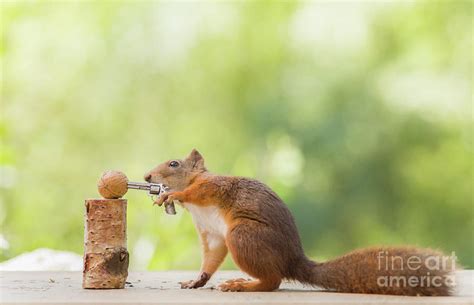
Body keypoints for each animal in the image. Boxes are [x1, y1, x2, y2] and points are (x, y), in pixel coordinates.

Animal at [143, 148, 456, 294]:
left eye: (174, 164)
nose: (147, 177)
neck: (195, 208)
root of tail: (292, 260)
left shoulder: (212, 186)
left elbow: (194, 190)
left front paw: (172, 194)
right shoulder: (211, 233)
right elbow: (211, 256)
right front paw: (196, 280)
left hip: (243, 235)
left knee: (273, 281)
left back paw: (243, 285)